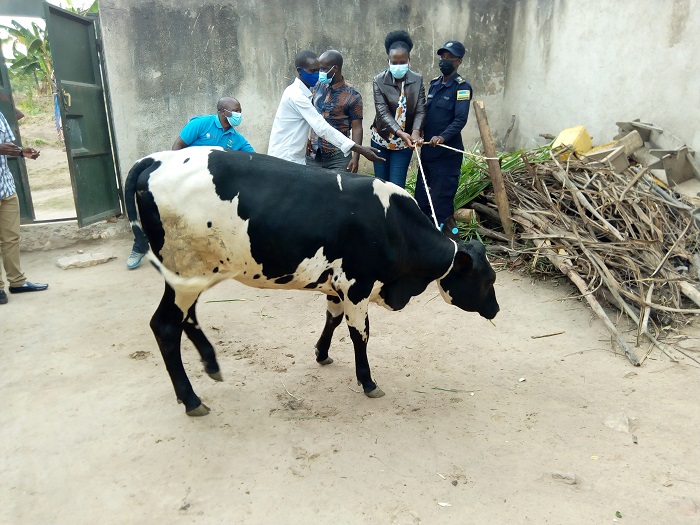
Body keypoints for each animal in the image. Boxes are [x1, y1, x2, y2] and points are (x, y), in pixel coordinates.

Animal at [126, 146, 498, 414]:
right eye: (488, 279)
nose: (496, 310)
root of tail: (156, 159)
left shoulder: (337, 284)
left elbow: (331, 320)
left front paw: (321, 353)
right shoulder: (357, 284)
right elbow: (360, 334)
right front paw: (368, 382)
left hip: (195, 275)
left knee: (186, 319)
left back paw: (211, 364)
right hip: (184, 273)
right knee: (165, 325)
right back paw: (191, 399)